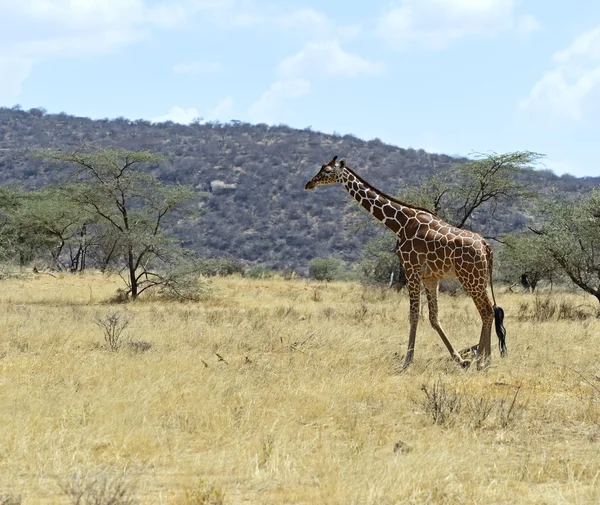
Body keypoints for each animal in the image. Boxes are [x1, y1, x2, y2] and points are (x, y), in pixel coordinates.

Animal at [304, 154, 506, 366]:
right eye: (321, 168)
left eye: (327, 171)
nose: (309, 183)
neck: (400, 224)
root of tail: (486, 246)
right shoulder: (430, 277)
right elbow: (433, 317)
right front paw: (459, 360)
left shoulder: (411, 268)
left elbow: (414, 315)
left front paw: (407, 361)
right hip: (479, 278)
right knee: (489, 311)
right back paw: (482, 359)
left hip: (470, 277)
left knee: (486, 311)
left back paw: (483, 361)